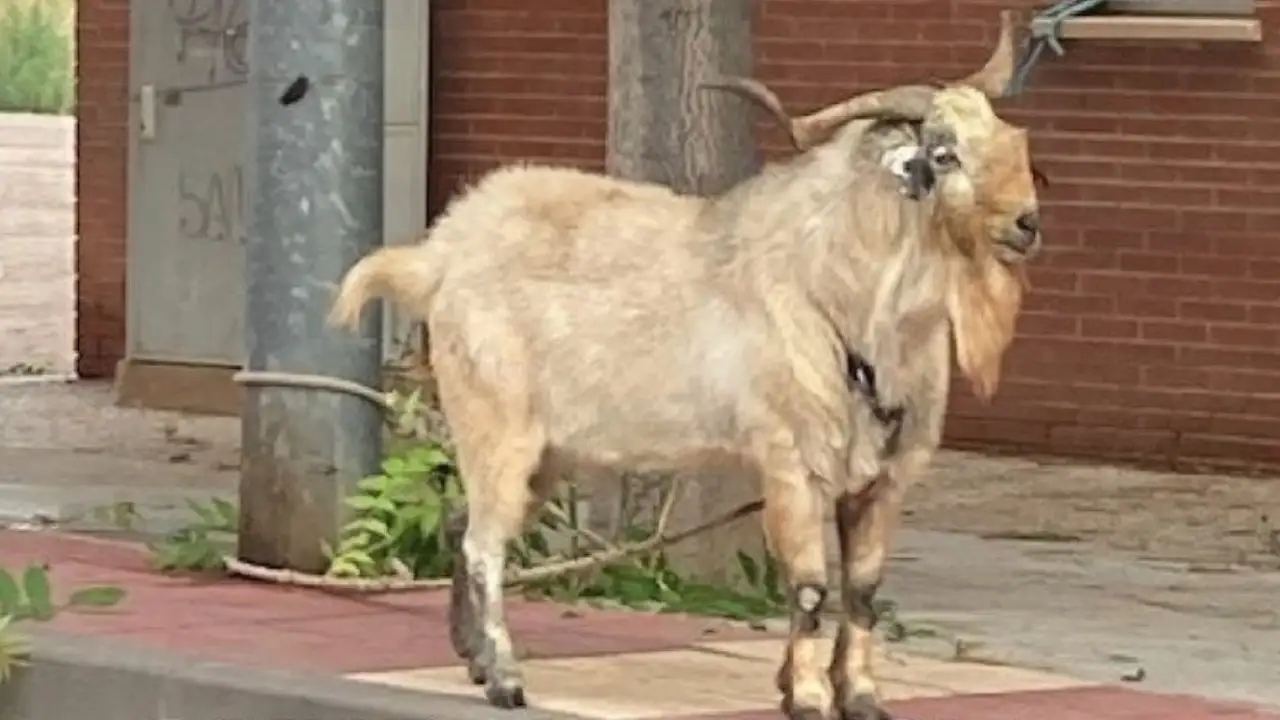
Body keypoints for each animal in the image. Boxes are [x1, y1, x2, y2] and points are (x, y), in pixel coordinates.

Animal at [329, 10, 1041, 719]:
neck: (841, 291)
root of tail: (439, 254)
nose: (1027, 223)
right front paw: (809, 698)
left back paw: (474, 657)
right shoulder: (792, 462)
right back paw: (505, 679)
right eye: (944, 154)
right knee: (484, 545)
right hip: (495, 423)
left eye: (1011, 138)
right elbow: (811, 587)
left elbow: (863, 590)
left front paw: (859, 697)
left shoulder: (886, 478)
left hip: (543, 452)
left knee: (464, 524)